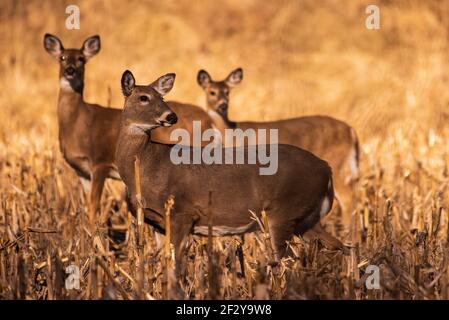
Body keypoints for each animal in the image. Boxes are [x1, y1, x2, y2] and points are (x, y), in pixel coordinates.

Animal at [43, 33, 214, 226]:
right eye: (62, 58)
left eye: (81, 59)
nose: (70, 70)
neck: (79, 122)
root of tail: (209, 120)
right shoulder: (82, 171)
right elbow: (86, 206)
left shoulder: (100, 162)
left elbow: (94, 206)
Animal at [115, 70, 336, 278]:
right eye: (143, 97)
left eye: (162, 97)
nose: (171, 116)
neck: (150, 163)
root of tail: (326, 168)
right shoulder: (158, 223)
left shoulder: (182, 213)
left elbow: (176, 267)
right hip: (305, 219)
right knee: (336, 248)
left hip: (284, 212)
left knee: (288, 261)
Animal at [198, 68, 358, 228]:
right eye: (212, 92)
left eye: (227, 92)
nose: (223, 105)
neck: (230, 133)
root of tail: (351, 130)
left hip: (335, 162)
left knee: (347, 197)